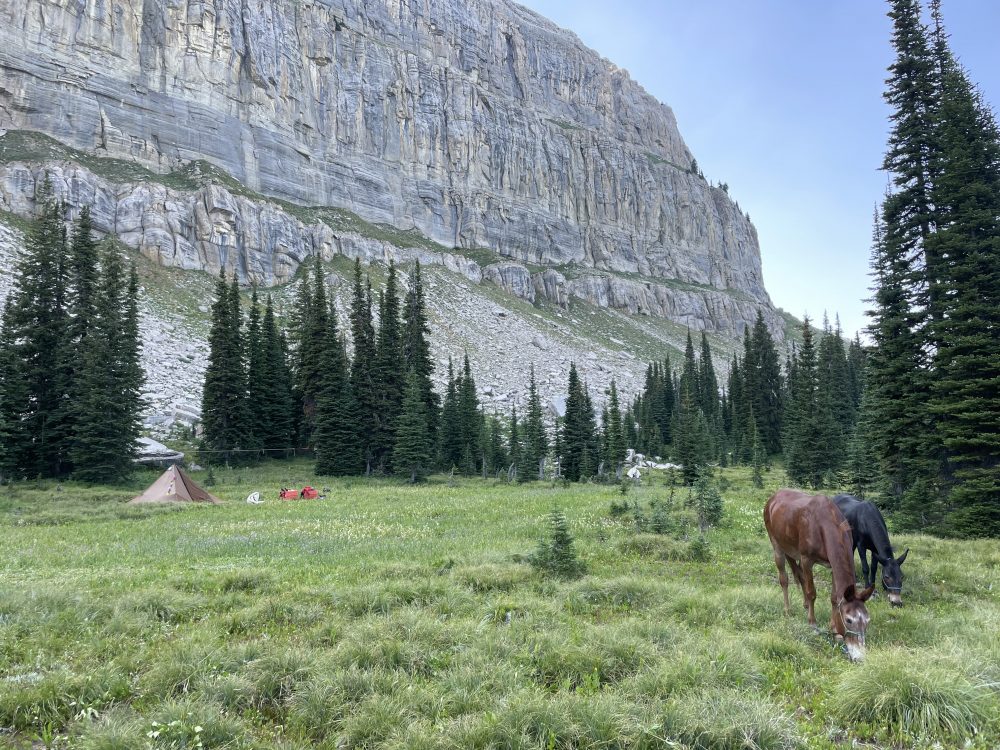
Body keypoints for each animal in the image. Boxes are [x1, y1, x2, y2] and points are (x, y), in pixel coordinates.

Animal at [764, 490, 876, 660]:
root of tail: (773, 498)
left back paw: (804, 605)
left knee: (799, 575)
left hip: (790, 548)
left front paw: (834, 629)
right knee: (784, 579)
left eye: (867, 620)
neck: (824, 525)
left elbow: (834, 598)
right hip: (776, 544)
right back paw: (788, 610)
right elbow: (812, 592)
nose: (860, 656)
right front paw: (813, 624)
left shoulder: (831, 565)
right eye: (849, 620)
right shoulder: (806, 559)